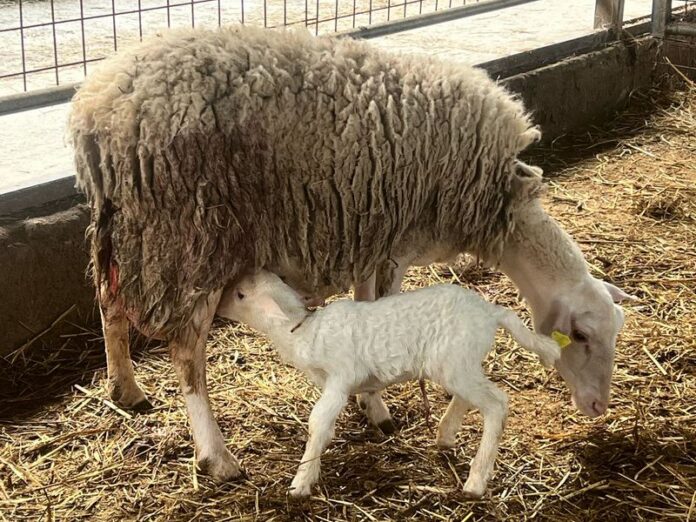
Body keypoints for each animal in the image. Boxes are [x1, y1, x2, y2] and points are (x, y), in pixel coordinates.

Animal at [216, 270, 561, 498]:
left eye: (241, 295)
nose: (217, 306)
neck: (302, 331)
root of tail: (491, 312)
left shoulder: (339, 378)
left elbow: (318, 422)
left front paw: (301, 482)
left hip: (456, 362)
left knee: (496, 404)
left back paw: (475, 482)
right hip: (457, 363)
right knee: (470, 397)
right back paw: (446, 434)